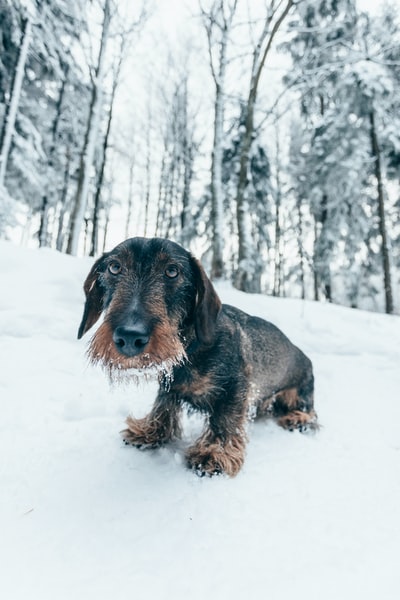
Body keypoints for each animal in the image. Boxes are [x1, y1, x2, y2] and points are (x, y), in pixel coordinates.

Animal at [77, 237, 316, 476]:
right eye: (114, 267)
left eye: (172, 271)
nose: (129, 336)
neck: (189, 350)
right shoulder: (168, 382)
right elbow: (164, 403)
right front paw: (150, 430)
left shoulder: (236, 385)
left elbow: (224, 418)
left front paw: (215, 452)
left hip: (300, 393)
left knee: (310, 412)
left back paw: (298, 419)